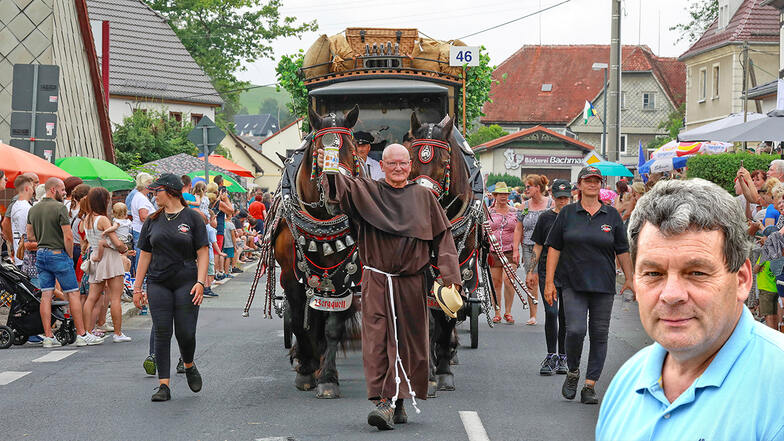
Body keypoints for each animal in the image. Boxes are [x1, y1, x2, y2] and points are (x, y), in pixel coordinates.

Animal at [270, 105, 364, 398]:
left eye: (352, 149)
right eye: (319, 152)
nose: (335, 190)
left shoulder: (346, 276)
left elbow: (333, 325)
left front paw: (328, 378)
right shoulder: (291, 276)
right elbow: (298, 320)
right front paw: (306, 368)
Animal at [408, 111, 486, 394]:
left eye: (443, 162)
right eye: (410, 158)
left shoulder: (461, 265)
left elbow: (448, 313)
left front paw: (443, 370)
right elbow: (430, 316)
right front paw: (430, 372)